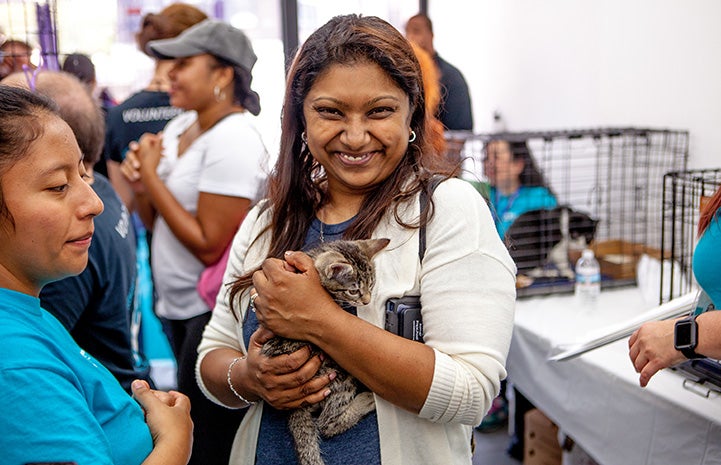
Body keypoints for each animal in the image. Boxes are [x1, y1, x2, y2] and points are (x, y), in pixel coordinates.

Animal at [262, 237, 390, 462]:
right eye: (353, 290)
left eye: (372, 284)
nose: (366, 300)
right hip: (340, 374)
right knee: (326, 424)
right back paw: (365, 402)